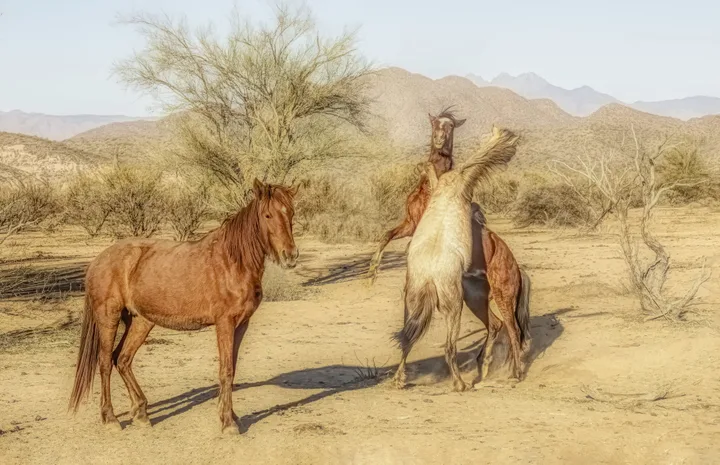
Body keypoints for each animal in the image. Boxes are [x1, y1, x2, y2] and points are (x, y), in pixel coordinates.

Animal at [68, 179, 299, 434]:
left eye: (291, 213)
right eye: (267, 215)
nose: (290, 256)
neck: (233, 262)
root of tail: (98, 260)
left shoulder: (241, 324)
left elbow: (232, 369)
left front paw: (231, 416)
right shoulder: (225, 324)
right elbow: (226, 370)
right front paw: (228, 423)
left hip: (141, 321)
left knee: (123, 359)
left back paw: (141, 412)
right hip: (108, 318)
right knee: (105, 362)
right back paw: (110, 418)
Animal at [367, 106, 465, 283]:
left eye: (452, 125)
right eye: (434, 123)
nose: (438, 139)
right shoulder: (411, 223)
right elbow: (387, 235)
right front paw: (372, 271)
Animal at [393, 127, 520, 392]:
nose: (514, 141)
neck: (455, 183)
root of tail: (430, 279)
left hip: (414, 302)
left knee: (407, 340)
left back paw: (399, 380)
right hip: (455, 305)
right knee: (454, 344)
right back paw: (464, 383)